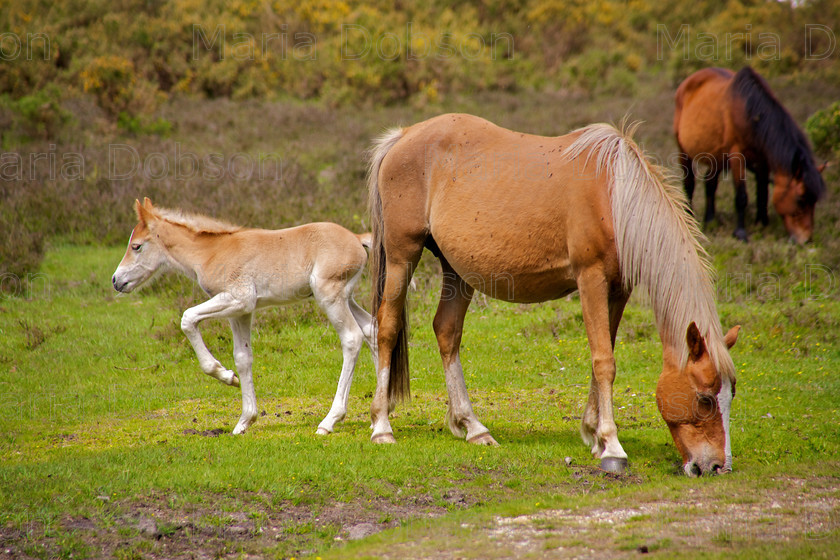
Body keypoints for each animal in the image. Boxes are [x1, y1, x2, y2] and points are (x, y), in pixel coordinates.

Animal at [111, 199, 374, 436]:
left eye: (136, 246)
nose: (116, 280)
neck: (211, 252)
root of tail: (356, 237)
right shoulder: (241, 312)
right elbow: (243, 358)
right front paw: (244, 420)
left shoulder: (239, 299)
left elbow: (187, 319)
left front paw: (225, 375)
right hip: (345, 298)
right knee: (371, 329)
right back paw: (375, 419)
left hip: (329, 296)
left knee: (352, 338)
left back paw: (329, 421)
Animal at [368, 114, 740, 476]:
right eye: (705, 398)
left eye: (731, 394)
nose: (716, 466)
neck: (615, 196)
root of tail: (402, 136)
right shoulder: (591, 278)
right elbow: (604, 361)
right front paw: (612, 446)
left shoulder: (618, 290)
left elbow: (604, 353)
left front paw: (593, 434)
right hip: (403, 256)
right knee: (386, 328)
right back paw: (382, 427)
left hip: (457, 272)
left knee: (447, 332)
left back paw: (473, 427)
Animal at [676, 66, 828, 242]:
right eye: (801, 199)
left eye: (815, 200)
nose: (806, 239)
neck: (750, 113)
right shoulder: (737, 156)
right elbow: (742, 196)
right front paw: (740, 232)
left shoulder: (763, 159)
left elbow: (763, 191)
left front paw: (762, 222)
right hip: (684, 150)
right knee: (689, 184)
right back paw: (689, 218)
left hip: (717, 156)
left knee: (710, 183)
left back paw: (710, 220)